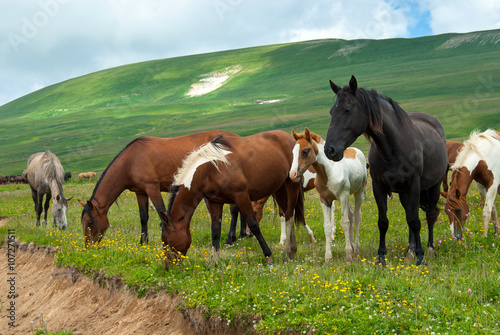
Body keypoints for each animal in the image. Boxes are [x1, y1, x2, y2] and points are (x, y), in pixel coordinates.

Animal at [78, 131, 234, 247]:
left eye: (90, 223)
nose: (88, 247)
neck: (130, 162)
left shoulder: (152, 188)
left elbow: (161, 213)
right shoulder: (140, 192)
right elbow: (143, 217)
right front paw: (143, 242)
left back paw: (230, 240)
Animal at [164, 130, 306, 266]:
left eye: (167, 241)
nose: (168, 267)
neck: (210, 169)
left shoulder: (241, 196)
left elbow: (253, 225)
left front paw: (268, 256)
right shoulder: (214, 202)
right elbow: (215, 230)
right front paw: (214, 262)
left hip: (291, 185)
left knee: (289, 216)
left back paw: (288, 252)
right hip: (279, 189)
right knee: (288, 213)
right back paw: (292, 251)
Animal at [290, 129, 368, 266]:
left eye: (305, 151)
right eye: (293, 152)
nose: (293, 174)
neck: (329, 171)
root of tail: (355, 149)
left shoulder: (343, 196)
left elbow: (345, 223)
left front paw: (348, 258)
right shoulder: (324, 200)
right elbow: (327, 227)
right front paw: (327, 259)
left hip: (357, 192)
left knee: (357, 216)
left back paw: (356, 250)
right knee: (351, 215)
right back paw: (353, 247)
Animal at [324, 75, 450, 266]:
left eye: (347, 109)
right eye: (332, 112)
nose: (329, 150)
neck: (393, 149)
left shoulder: (414, 186)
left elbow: (415, 221)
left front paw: (420, 257)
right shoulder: (379, 187)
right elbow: (384, 222)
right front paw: (381, 257)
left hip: (433, 187)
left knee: (429, 215)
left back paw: (429, 249)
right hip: (404, 193)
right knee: (409, 214)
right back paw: (410, 251)